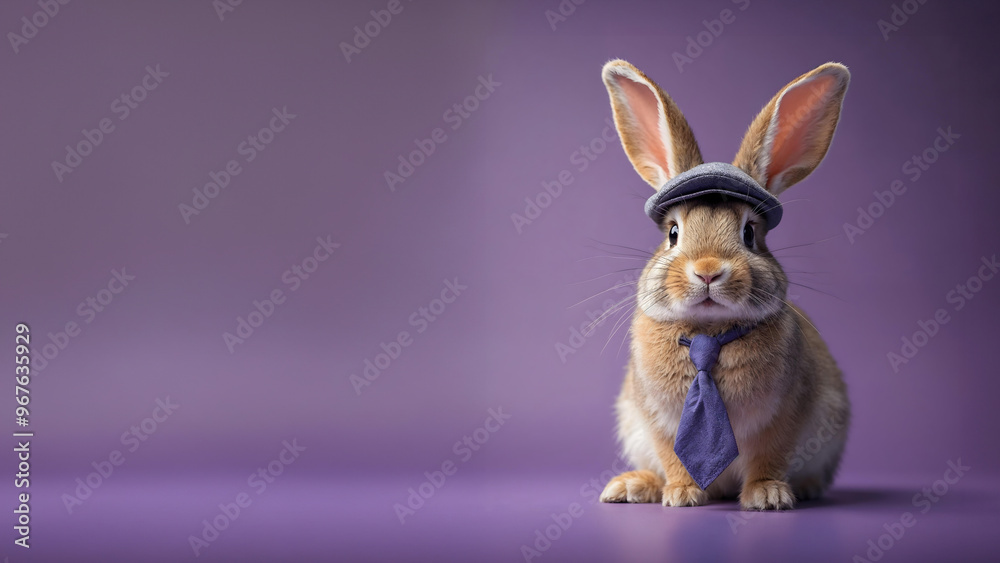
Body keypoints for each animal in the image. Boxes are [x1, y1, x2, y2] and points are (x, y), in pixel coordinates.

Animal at [596, 59, 851, 510]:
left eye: (750, 233)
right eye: (673, 233)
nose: (708, 270)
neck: (708, 334)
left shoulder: (784, 416)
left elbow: (770, 454)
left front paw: (767, 496)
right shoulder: (658, 419)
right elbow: (673, 454)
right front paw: (682, 495)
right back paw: (632, 486)